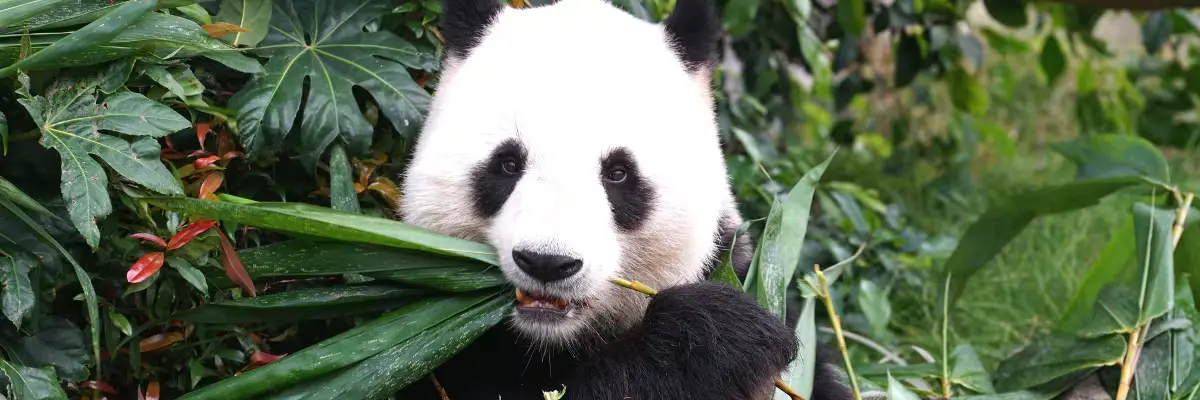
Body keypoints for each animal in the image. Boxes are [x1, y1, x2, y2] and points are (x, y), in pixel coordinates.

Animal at [393, 0, 854, 396]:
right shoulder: (434, 347)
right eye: (508, 164)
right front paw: (716, 332)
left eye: (618, 174)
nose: (547, 262)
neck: (553, 340)